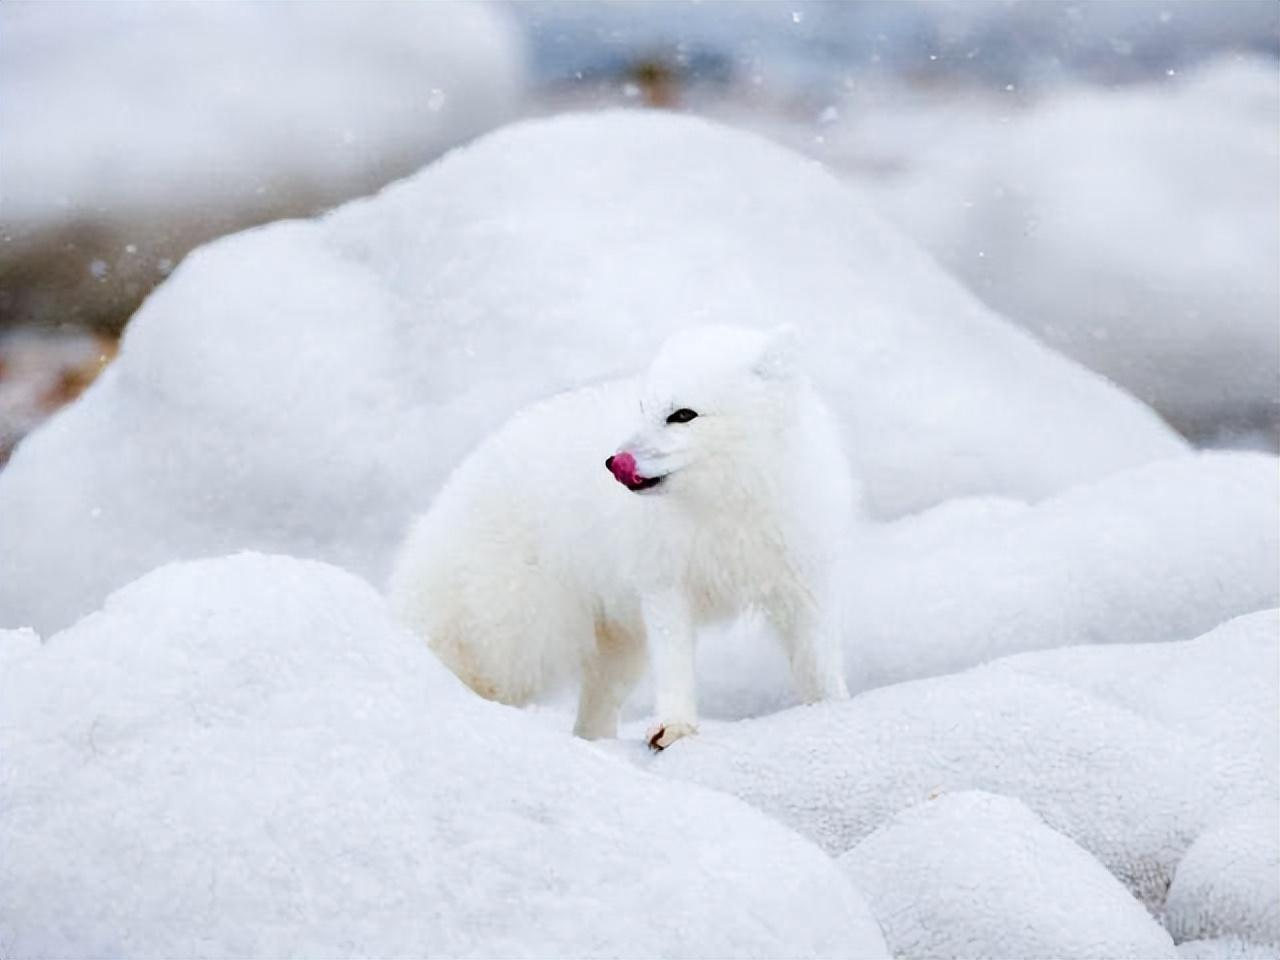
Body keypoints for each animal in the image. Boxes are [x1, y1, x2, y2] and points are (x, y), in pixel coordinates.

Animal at [384, 327, 855, 747]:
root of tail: (434, 517)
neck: (729, 503)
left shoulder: (803, 578)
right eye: (643, 407)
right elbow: (674, 659)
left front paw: (835, 711)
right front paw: (675, 727)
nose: (615, 461)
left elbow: (818, 661)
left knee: (591, 715)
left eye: (682, 415)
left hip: (614, 645)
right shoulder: (663, 584)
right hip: (516, 637)